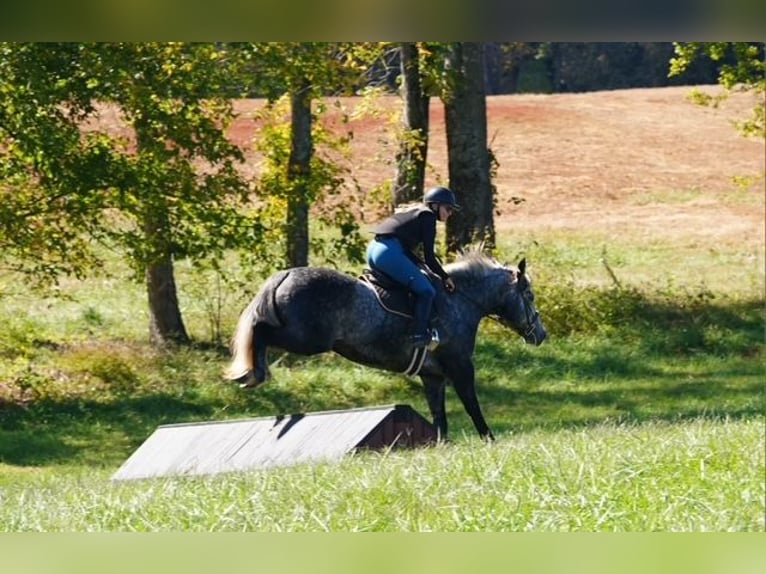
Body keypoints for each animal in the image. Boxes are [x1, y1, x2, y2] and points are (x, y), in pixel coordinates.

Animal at [225, 251, 547, 441]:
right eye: (529, 295)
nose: (540, 334)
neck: (461, 300)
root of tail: (286, 274)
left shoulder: (433, 375)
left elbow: (439, 415)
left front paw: (442, 447)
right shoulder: (460, 366)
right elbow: (472, 405)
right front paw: (489, 439)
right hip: (305, 339)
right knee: (261, 330)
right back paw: (253, 373)